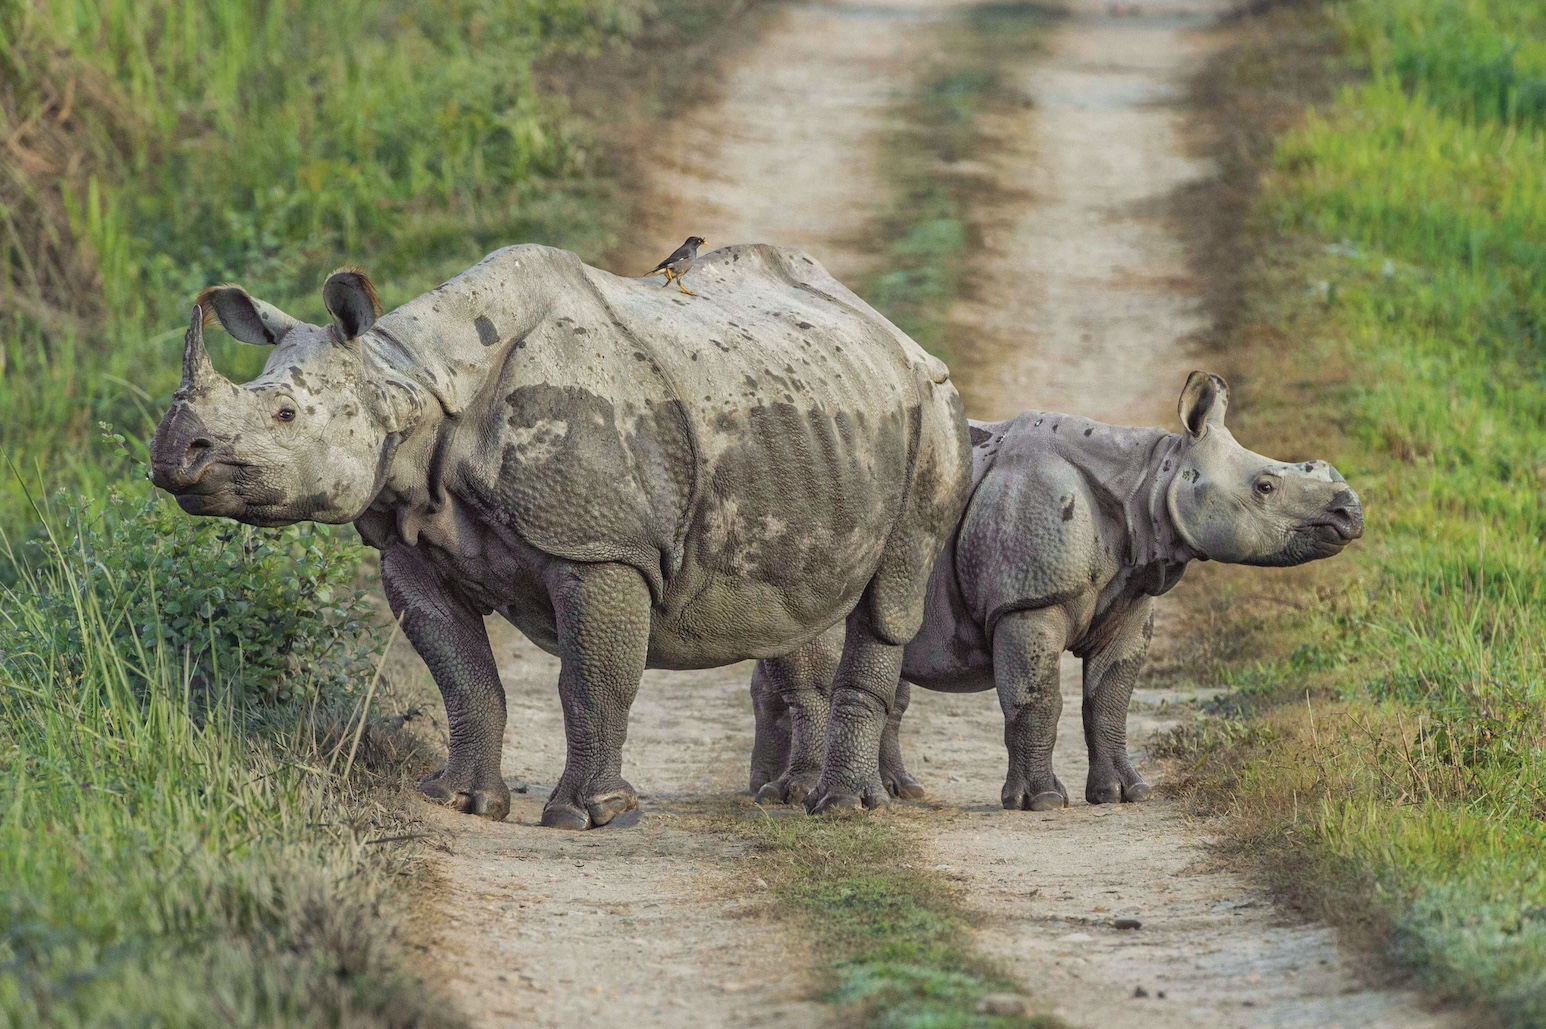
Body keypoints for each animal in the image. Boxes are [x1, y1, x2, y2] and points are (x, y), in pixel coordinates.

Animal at [147, 242, 964, 828]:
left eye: (284, 415)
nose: (172, 454)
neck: (411, 381)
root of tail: (889, 330)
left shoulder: (601, 550)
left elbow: (591, 679)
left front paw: (592, 816)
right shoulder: (409, 546)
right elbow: (465, 675)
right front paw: (458, 800)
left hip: (933, 407)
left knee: (889, 601)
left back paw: (846, 808)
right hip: (814, 422)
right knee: (796, 603)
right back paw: (788, 798)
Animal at [748, 370, 1366, 809]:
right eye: (1265, 487)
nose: (1350, 513)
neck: (1151, 480)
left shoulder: (1131, 598)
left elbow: (1109, 701)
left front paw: (1125, 795)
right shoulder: (1029, 602)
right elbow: (1037, 699)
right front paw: (1042, 802)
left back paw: (874, 793)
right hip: (818, 526)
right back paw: (800, 796)